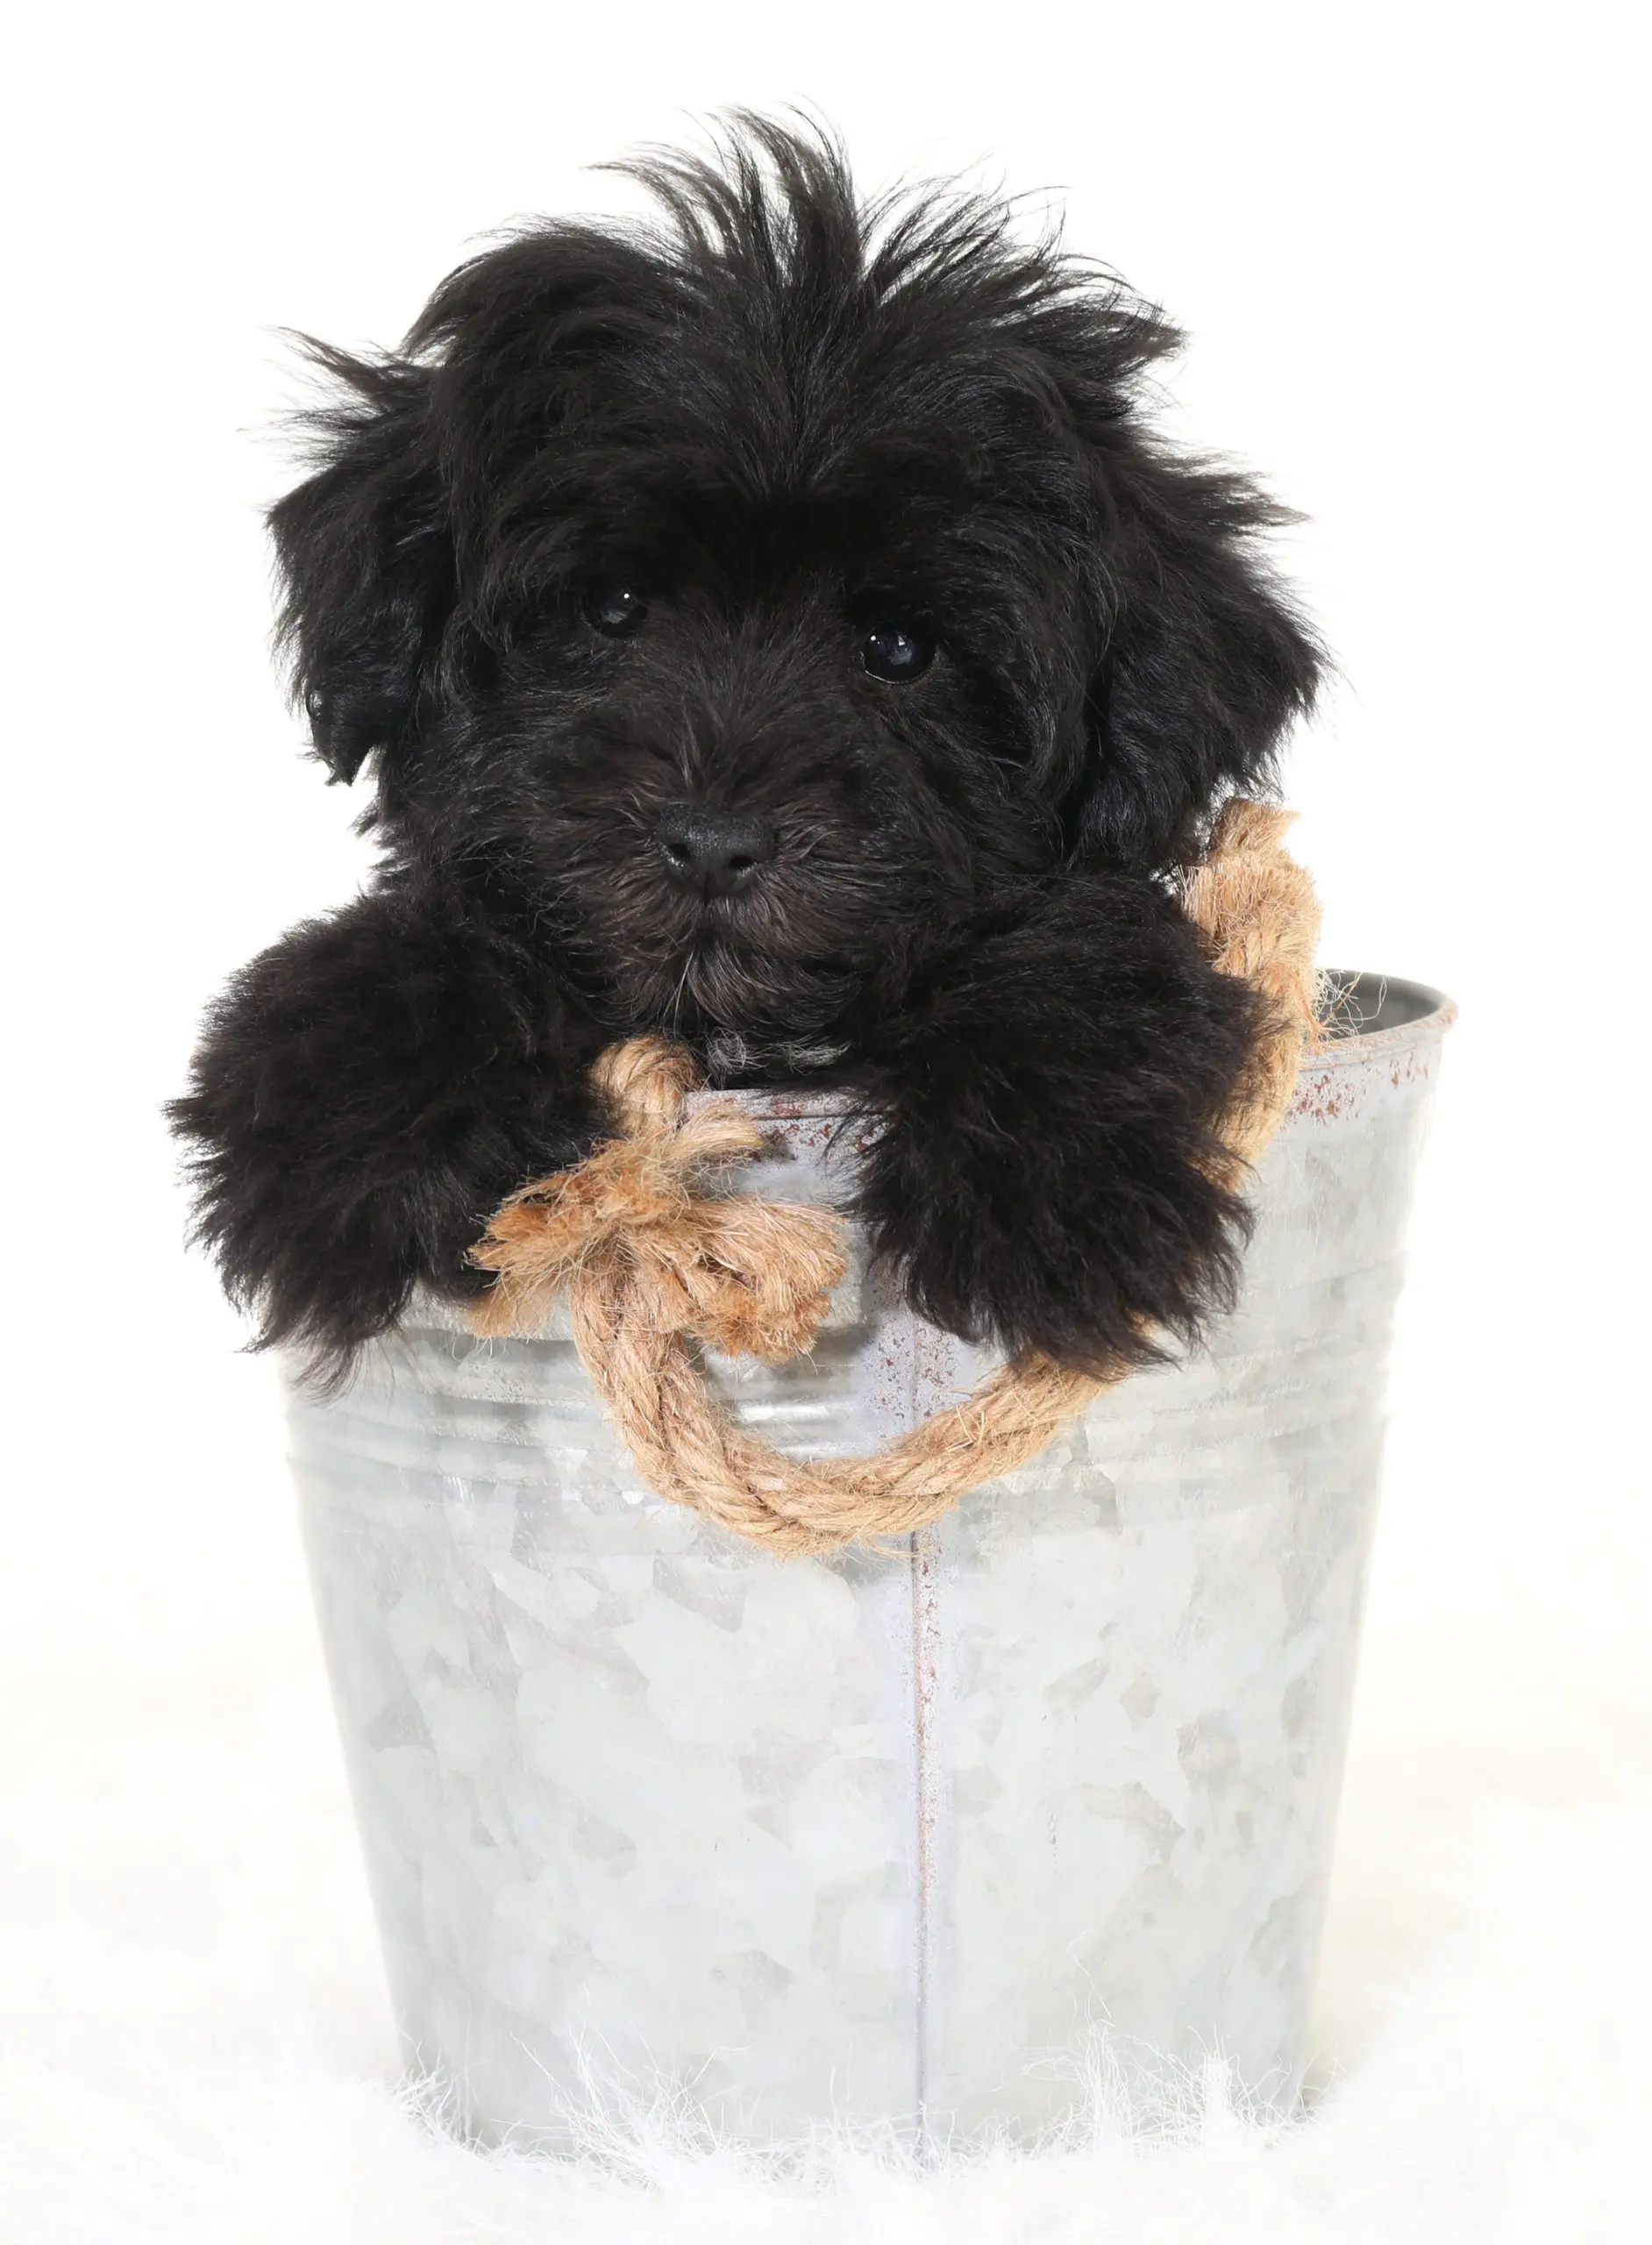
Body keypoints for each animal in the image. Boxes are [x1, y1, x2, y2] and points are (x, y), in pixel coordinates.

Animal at [174, 123, 1320, 1392]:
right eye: (615, 608)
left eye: (900, 649)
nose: (715, 844)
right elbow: (382, 958)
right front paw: (362, 1159)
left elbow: (1086, 963)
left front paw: (1050, 1200)